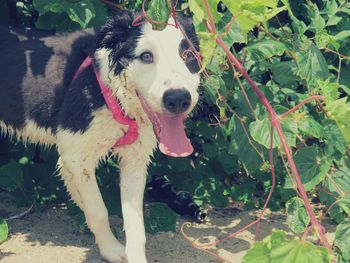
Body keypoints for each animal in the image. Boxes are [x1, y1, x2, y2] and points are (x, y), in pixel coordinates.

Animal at [0, 10, 200, 263]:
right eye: (146, 56)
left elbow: (135, 224)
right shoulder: (76, 156)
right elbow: (98, 210)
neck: (113, 96)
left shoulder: (133, 160)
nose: (178, 99)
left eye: (188, 54)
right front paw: (111, 250)